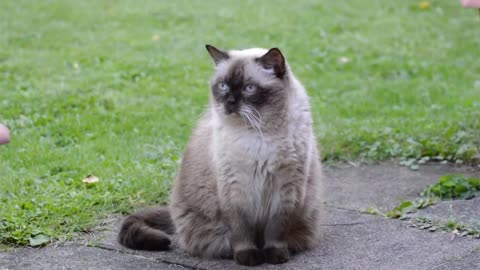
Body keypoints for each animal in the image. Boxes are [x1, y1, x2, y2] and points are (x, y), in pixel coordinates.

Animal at [118, 44, 324, 266]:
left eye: (249, 88)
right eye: (223, 86)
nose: (230, 102)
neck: (258, 133)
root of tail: (172, 212)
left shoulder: (286, 189)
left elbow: (276, 231)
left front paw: (276, 257)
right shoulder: (234, 189)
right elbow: (242, 231)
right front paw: (248, 258)